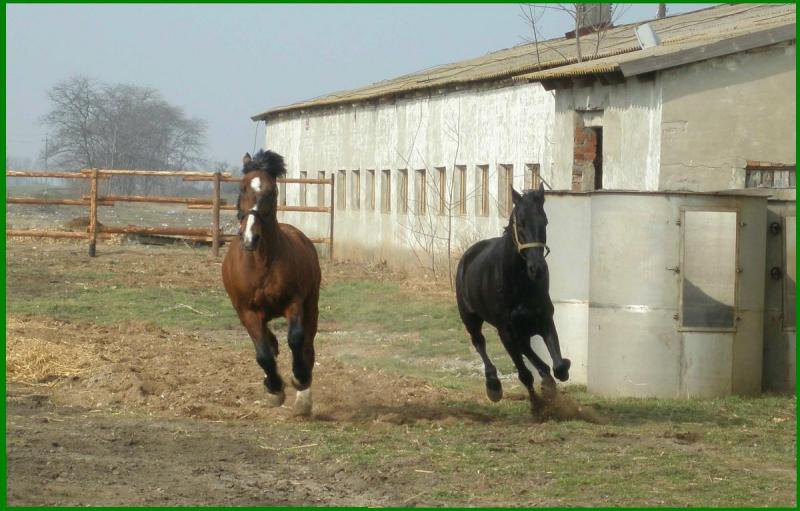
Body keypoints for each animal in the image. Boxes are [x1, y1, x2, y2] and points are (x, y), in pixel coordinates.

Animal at [222, 149, 322, 416]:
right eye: (243, 187)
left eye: (272, 191)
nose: (250, 237)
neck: (261, 263)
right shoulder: (247, 311)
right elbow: (264, 353)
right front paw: (275, 389)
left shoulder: (294, 303)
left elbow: (296, 339)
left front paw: (298, 379)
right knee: (270, 342)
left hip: (311, 305)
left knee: (307, 345)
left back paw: (303, 397)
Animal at [456, 184, 568, 412]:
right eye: (521, 222)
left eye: (544, 221)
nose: (537, 269)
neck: (518, 282)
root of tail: (467, 256)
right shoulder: (506, 332)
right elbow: (525, 374)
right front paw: (537, 406)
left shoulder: (544, 319)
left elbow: (559, 365)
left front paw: (551, 383)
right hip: (470, 318)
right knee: (479, 343)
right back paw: (493, 385)